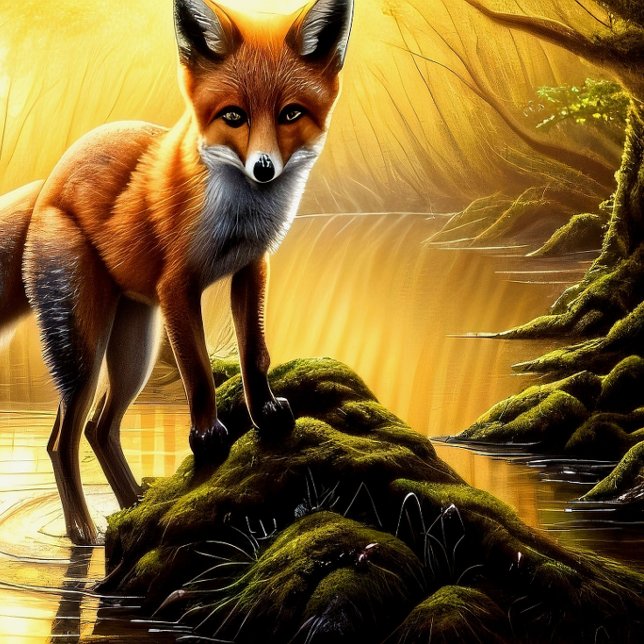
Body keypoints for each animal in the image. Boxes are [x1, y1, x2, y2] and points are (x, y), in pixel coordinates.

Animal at [0, 0, 354, 545]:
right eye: (234, 116)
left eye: (291, 113)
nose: (264, 169)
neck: (236, 218)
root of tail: (48, 183)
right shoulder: (177, 289)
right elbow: (199, 372)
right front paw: (206, 437)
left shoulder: (251, 269)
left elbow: (255, 355)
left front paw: (266, 414)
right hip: (83, 348)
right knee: (62, 440)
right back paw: (82, 531)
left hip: (134, 351)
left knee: (101, 428)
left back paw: (133, 508)